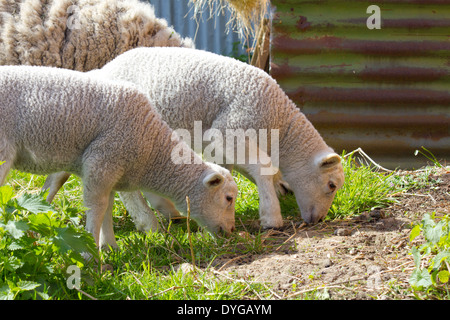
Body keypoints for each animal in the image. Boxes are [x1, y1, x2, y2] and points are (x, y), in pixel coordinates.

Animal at [0, 66, 239, 249]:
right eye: (228, 198)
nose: (232, 230)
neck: (151, 148)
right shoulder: (102, 162)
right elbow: (96, 207)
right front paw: (91, 255)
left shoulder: (110, 172)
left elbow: (107, 207)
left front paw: (110, 247)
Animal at [44, 47, 344, 228]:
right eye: (331, 185)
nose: (318, 220)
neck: (278, 122)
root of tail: (102, 70)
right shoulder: (229, 130)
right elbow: (262, 167)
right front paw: (271, 217)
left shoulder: (220, 146)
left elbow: (238, 170)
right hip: (126, 138)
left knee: (63, 173)